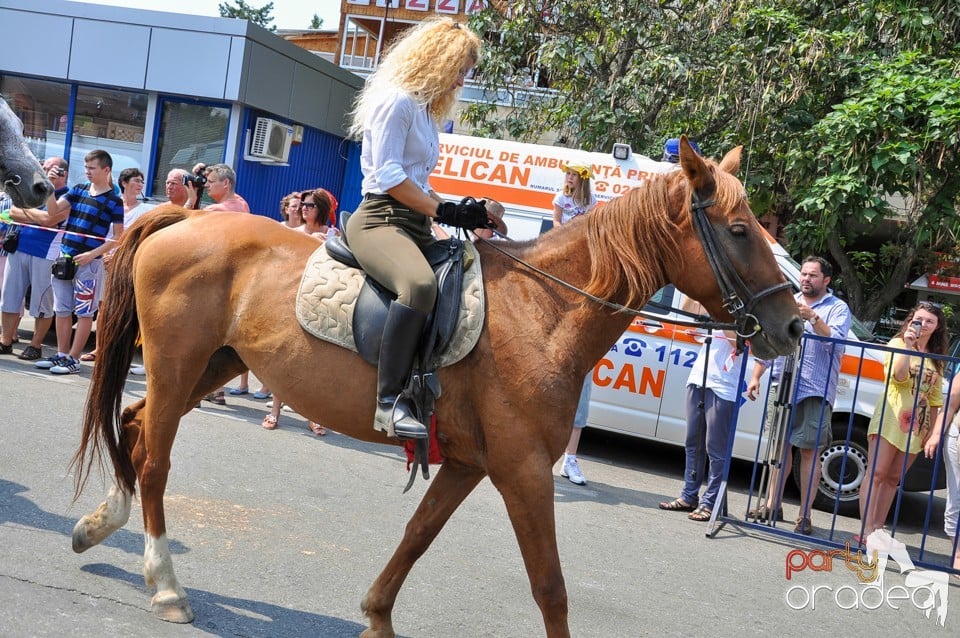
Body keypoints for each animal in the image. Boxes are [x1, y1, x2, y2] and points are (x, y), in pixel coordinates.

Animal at [69, 141, 804, 638]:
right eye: (740, 231)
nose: (794, 327)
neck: (543, 311)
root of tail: (182, 216)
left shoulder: (472, 463)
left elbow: (418, 535)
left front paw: (376, 615)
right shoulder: (523, 469)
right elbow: (550, 584)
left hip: (210, 367)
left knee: (134, 427)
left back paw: (99, 525)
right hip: (177, 365)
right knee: (155, 459)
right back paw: (166, 585)